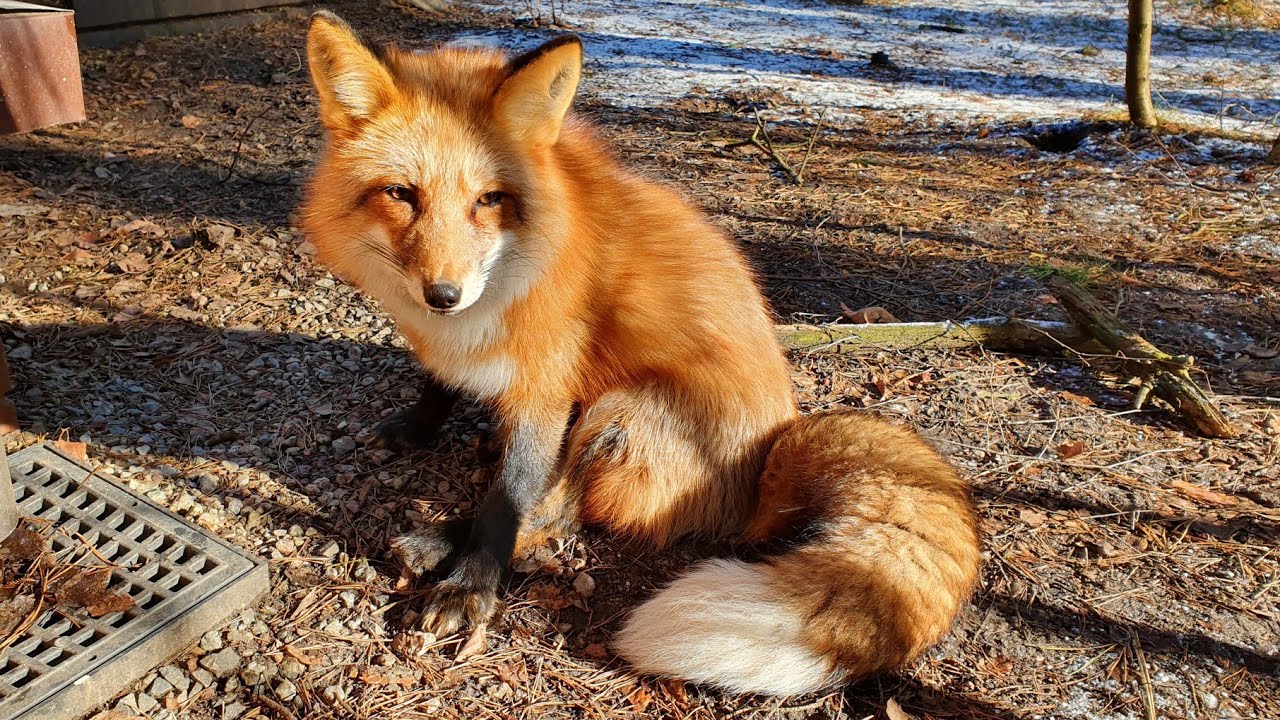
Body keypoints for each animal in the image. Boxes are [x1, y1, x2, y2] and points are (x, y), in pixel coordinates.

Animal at [299, 11, 980, 696]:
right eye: (401, 194)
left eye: (488, 199)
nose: (444, 294)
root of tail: (771, 452)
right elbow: (436, 385)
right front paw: (415, 428)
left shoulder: (547, 387)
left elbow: (506, 501)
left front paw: (471, 588)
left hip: (618, 411)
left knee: (558, 514)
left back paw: (442, 540)